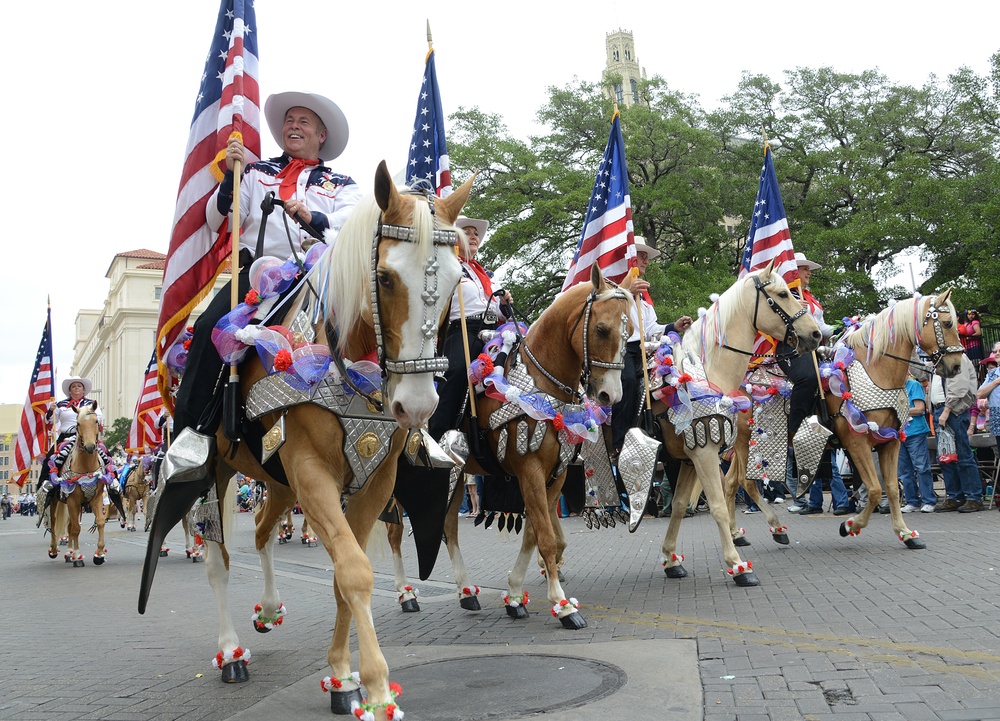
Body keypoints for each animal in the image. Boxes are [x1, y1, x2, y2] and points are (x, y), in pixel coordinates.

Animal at [45, 408, 116, 564]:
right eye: (78, 423)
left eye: (95, 421)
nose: (90, 447)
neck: (86, 467)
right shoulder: (73, 501)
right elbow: (76, 528)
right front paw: (77, 556)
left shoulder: (96, 499)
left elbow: (100, 522)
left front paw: (99, 554)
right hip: (57, 501)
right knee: (54, 522)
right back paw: (54, 550)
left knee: (70, 525)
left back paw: (69, 553)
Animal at [139, 160, 470, 716]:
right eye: (385, 277)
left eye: (451, 283)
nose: (417, 407)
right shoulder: (313, 473)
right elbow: (353, 571)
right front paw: (377, 689)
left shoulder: (371, 483)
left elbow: (342, 574)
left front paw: (341, 676)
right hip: (220, 473)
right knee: (218, 561)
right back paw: (232, 652)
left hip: (276, 479)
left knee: (261, 530)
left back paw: (269, 610)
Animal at [384, 262, 628, 624]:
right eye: (600, 329)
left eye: (629, 333)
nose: (610, 395)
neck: (540, 382)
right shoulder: (530, 470)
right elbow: (545, 537)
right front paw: (564, 605)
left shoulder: (554, 476)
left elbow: (536, 534)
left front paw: (514, 596)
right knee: (396, 533)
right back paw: (406, 594)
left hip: (456, 475)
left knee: (448, 527)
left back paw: (467, 592)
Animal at [648, 262, 820, 588]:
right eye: (783, 294)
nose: (815, 334)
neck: (705, 373)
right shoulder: (704, 453)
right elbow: (716, 505)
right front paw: (738, 566)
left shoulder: (692, 457)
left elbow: (679, 505)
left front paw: (671, 560)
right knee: (743, 483)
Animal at [724, 290, 964, 548]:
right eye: (947, 323)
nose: (956, 366)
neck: (875, 372)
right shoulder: (857, 443)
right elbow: (875, 489)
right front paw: (850, 526)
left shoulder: (891, 442)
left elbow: (891, 488)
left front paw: (906, 534)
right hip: (746, 444)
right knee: (746, 482)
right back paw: (776, 528)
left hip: (744, 447)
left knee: (730, 482)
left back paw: (736, 535)